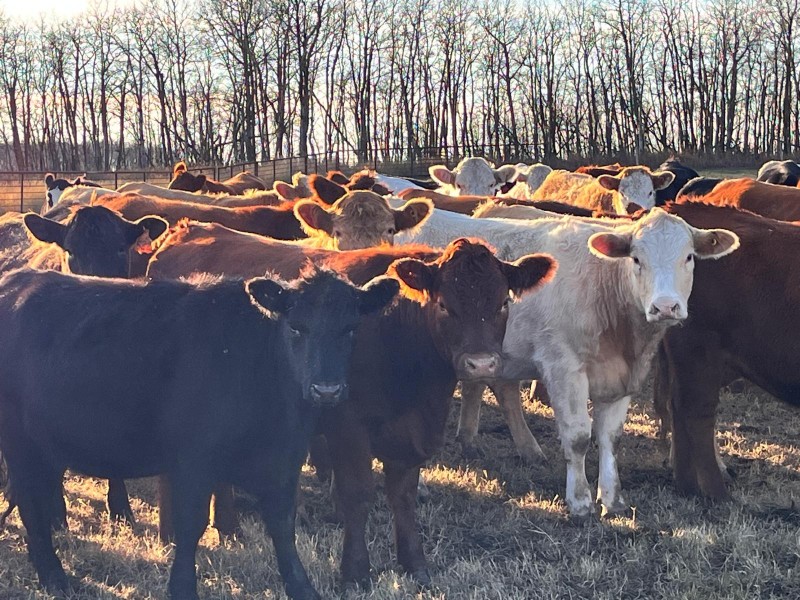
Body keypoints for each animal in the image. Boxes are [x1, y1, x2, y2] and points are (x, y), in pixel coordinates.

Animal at [0, 266, 398, 599]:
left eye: (350, 328)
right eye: (296, 327)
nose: (326, 390)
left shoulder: (285, 461)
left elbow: (283, 528)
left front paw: (303, 589)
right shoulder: (194, 461)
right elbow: (191, 525)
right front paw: (182, 588)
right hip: (19, 442)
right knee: (31, 505)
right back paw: (55, 578)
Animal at [395, 207, 739, 518]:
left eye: (689, 257)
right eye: (636, 259)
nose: (665, 306)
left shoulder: (622, 377)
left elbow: (610, 437)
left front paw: (613, 500)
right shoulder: (563, 368)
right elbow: (577, 437)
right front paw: (580, 502)